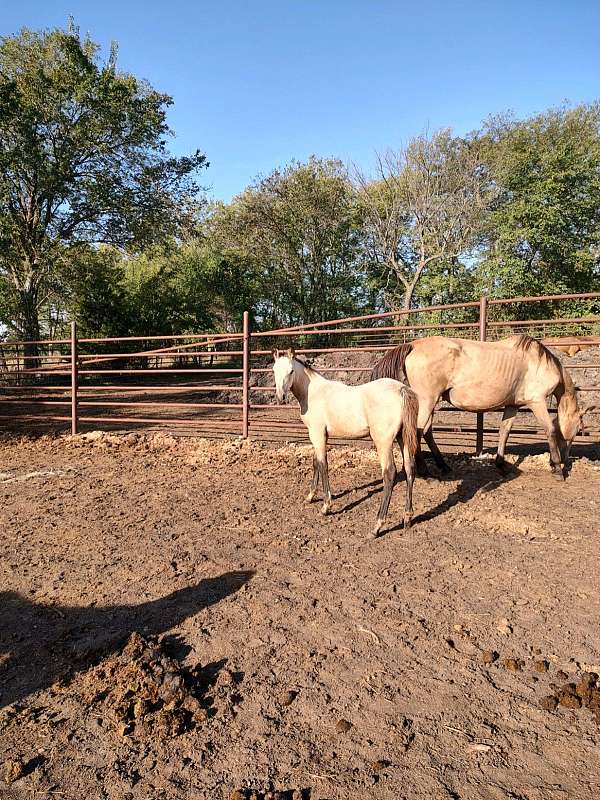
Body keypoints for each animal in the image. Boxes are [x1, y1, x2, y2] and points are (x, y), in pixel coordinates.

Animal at [274, 346, 420, 536]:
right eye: (274, 370)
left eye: (291, 371)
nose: (281, 397)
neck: (313, 393)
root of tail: (401, 389)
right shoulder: (317, 435)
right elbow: (315, 463)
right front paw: (310, 496)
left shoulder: (317, 433)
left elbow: (323, 464)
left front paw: (326, 506)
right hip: (403, 438)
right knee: (410, 469)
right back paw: (407, 518)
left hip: (383, 442)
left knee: (389, 474)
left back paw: (377, 526)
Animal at [372, 332, 588, 478]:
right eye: (578, 428)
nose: (567, 459)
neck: (541, 363)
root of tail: (413, 345)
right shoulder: (537, 401)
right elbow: (550, 430)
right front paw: (557, 468)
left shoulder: (513, 405)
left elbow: (504, 431)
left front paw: (501, 464)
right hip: (427, 400)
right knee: (416, 432)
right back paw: (425, 471)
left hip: (429, 402)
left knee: (425, 431)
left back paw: (443, 466)